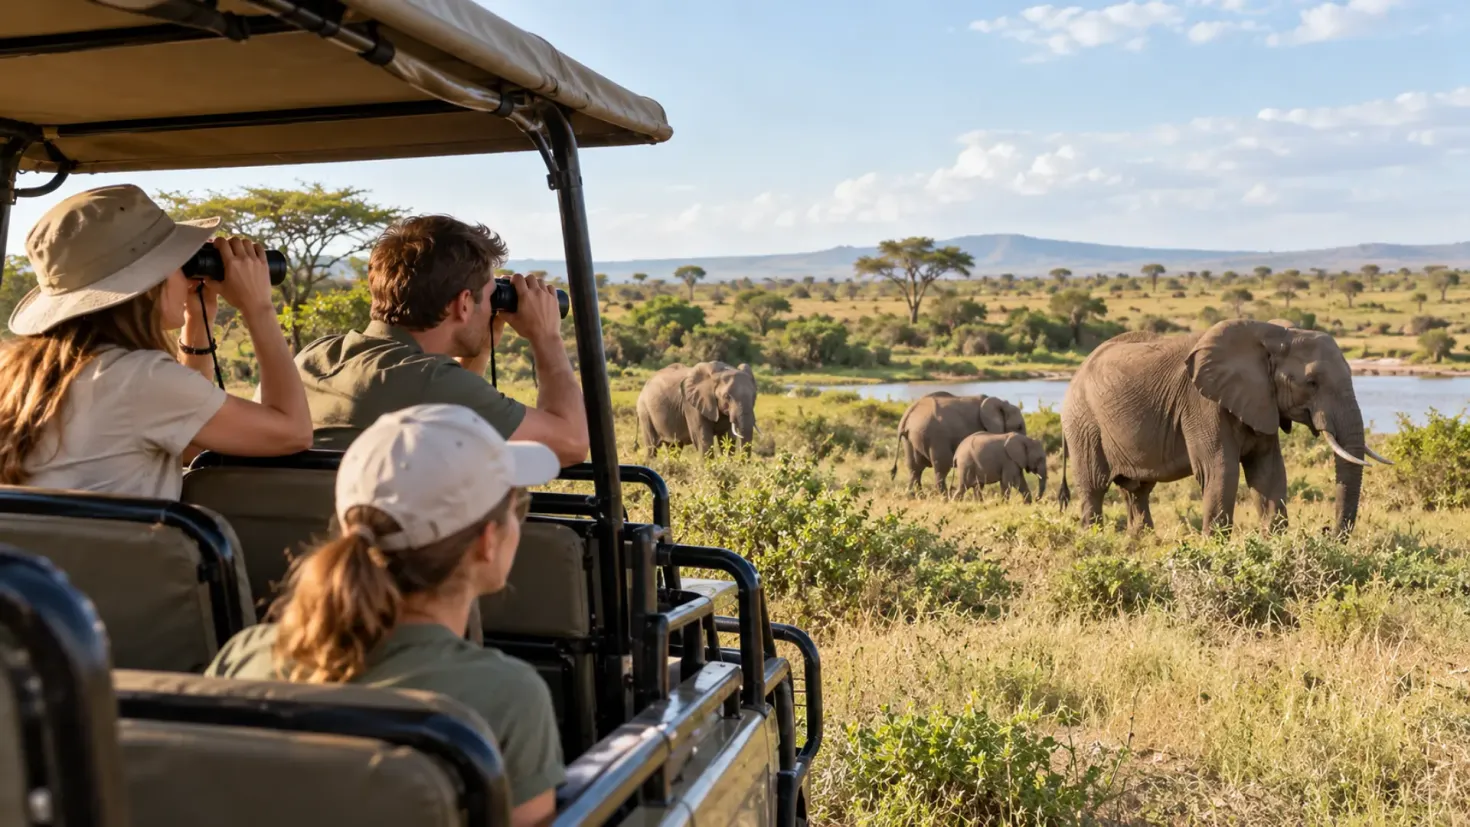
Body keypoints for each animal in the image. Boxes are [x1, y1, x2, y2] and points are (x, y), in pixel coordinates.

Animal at [890, 392, 1027, 495]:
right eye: (1019, 426)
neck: (1001, 403)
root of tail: (908, 414)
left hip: (909, 438)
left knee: (914, 468)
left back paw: (915, 496)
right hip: (936, 437)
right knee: (941, 468)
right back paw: (944, 498)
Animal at [1057, 319, 1391, 536]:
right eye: (1311, 383)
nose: (1327, 531)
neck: (1273, 334)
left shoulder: (1261, 401)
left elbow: (1268, 472)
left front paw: (1274, 542)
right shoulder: (1202, 403)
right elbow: (1220, 469)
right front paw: (1214, 547)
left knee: (1137, 490)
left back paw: (1143, 542)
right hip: (1083, 421)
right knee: (1094, 486)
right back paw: (1093, 541)